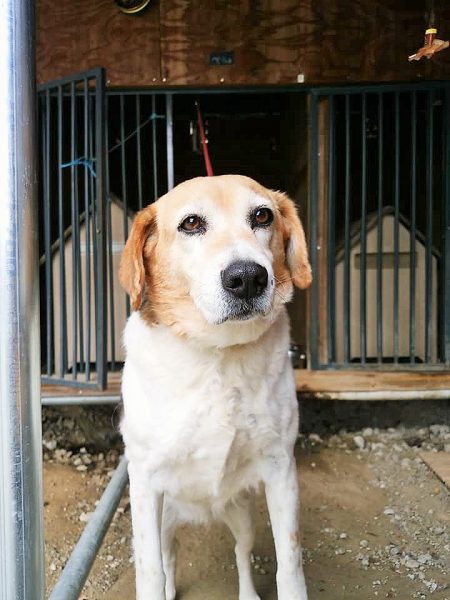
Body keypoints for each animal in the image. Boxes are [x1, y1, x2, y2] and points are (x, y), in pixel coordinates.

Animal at [119, 175, 312, 600]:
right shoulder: (145, 483)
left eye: (262, 215)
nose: (248, 278)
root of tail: (201, 512)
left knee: (242, 554)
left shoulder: (281, 468)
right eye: (191, 223)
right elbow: (151, 573)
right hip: (165, 521)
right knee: (169, 557)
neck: (217, 354)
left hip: (242, 515)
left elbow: (289, 563)